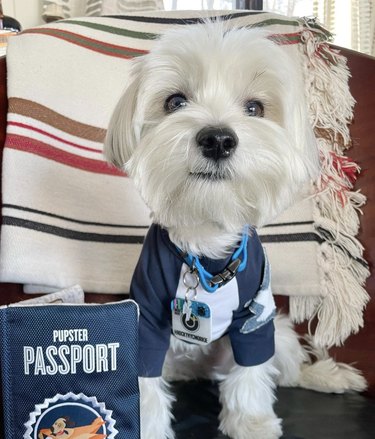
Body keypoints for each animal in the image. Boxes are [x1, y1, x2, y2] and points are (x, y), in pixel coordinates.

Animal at [106, 20, 368, 439]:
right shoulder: (146, 316)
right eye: (175, 102)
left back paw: (327, 376)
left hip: (280, 333)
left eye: (255, 108)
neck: (207, 239)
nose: (217, 138)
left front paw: (252, 423)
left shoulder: (255, 317)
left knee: (287, 371)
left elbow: (250, 373)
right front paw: (145, 426)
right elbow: (143, 376)